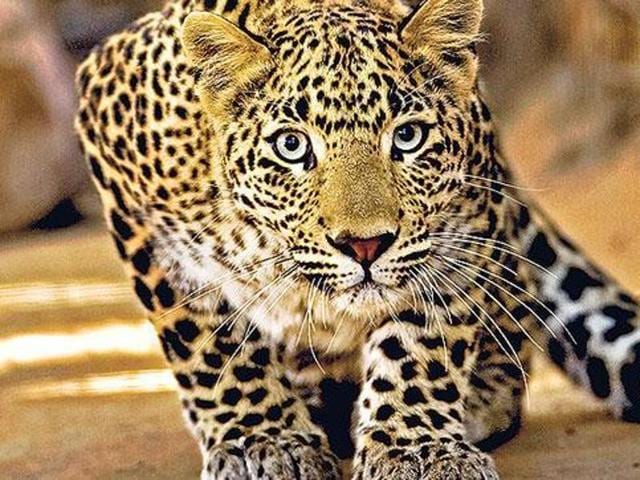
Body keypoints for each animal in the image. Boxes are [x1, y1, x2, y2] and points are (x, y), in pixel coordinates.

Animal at [75, 0, 640, 478]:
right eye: (291, 146)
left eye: (407, 137)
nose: (365, 246)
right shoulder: (128, 182)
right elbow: (210, 345)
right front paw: (264, 443)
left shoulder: (462, 229)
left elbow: (420, 347)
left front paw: (415, 450)